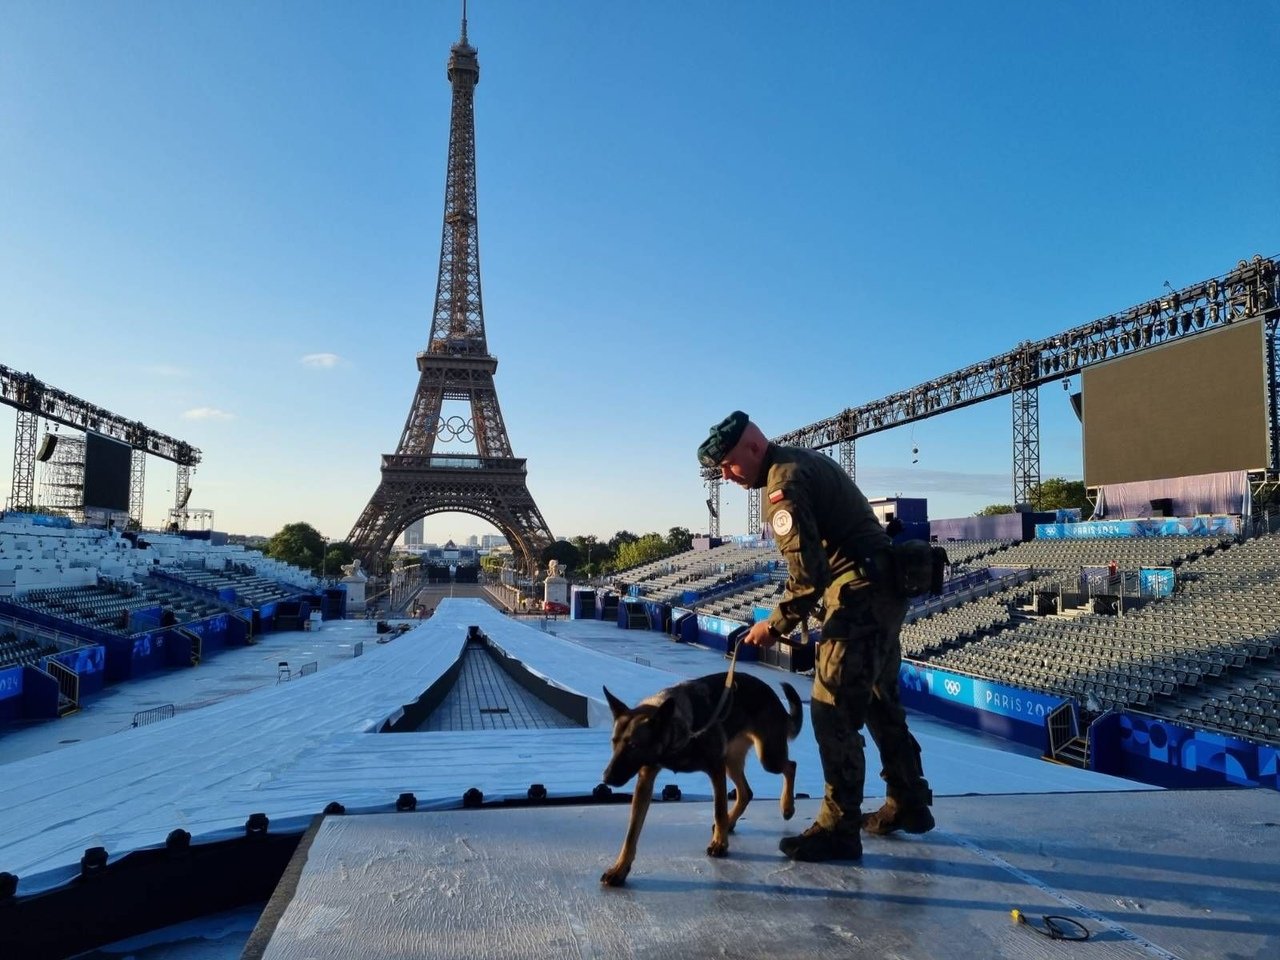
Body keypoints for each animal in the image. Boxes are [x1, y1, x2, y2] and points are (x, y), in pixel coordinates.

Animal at [599, 672, 803, 887]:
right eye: (614, 742)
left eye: (633, 746)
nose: (605, 777)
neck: (677, 733)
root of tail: (771, 694)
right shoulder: (645, 782)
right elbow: (631, 834)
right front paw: (620, 869)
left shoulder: (715, 768)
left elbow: (719, 810)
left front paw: (719, 843)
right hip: (732, 762)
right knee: (746, 792)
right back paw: (732, 821)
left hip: (767, 758)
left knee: (791, 766)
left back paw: (787, 806)